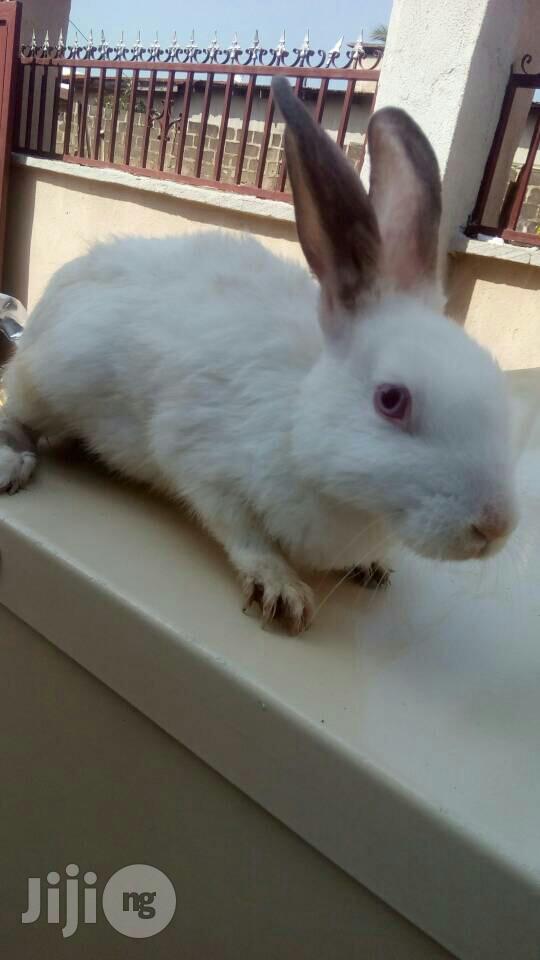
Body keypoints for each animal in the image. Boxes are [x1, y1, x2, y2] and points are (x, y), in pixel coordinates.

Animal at [0, 76, 518, 634]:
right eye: (391, 400)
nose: (497, 526)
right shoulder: (203, 463)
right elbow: (242, 533)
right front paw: (281, 589)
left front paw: (373, 566)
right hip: (48, 384)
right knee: (16, 417)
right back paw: (13, 465)